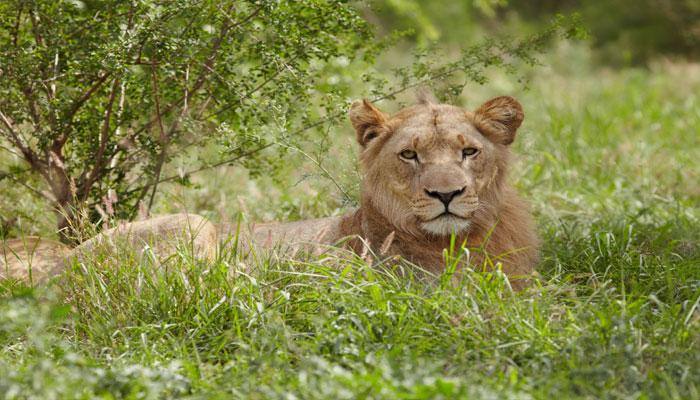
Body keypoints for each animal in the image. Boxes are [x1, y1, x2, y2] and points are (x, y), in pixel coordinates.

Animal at [0, 92, 540, 290]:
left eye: (468, 151)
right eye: (409, 155)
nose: (446, 195)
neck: (459, 243)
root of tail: (57, 265)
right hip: (194, 225)